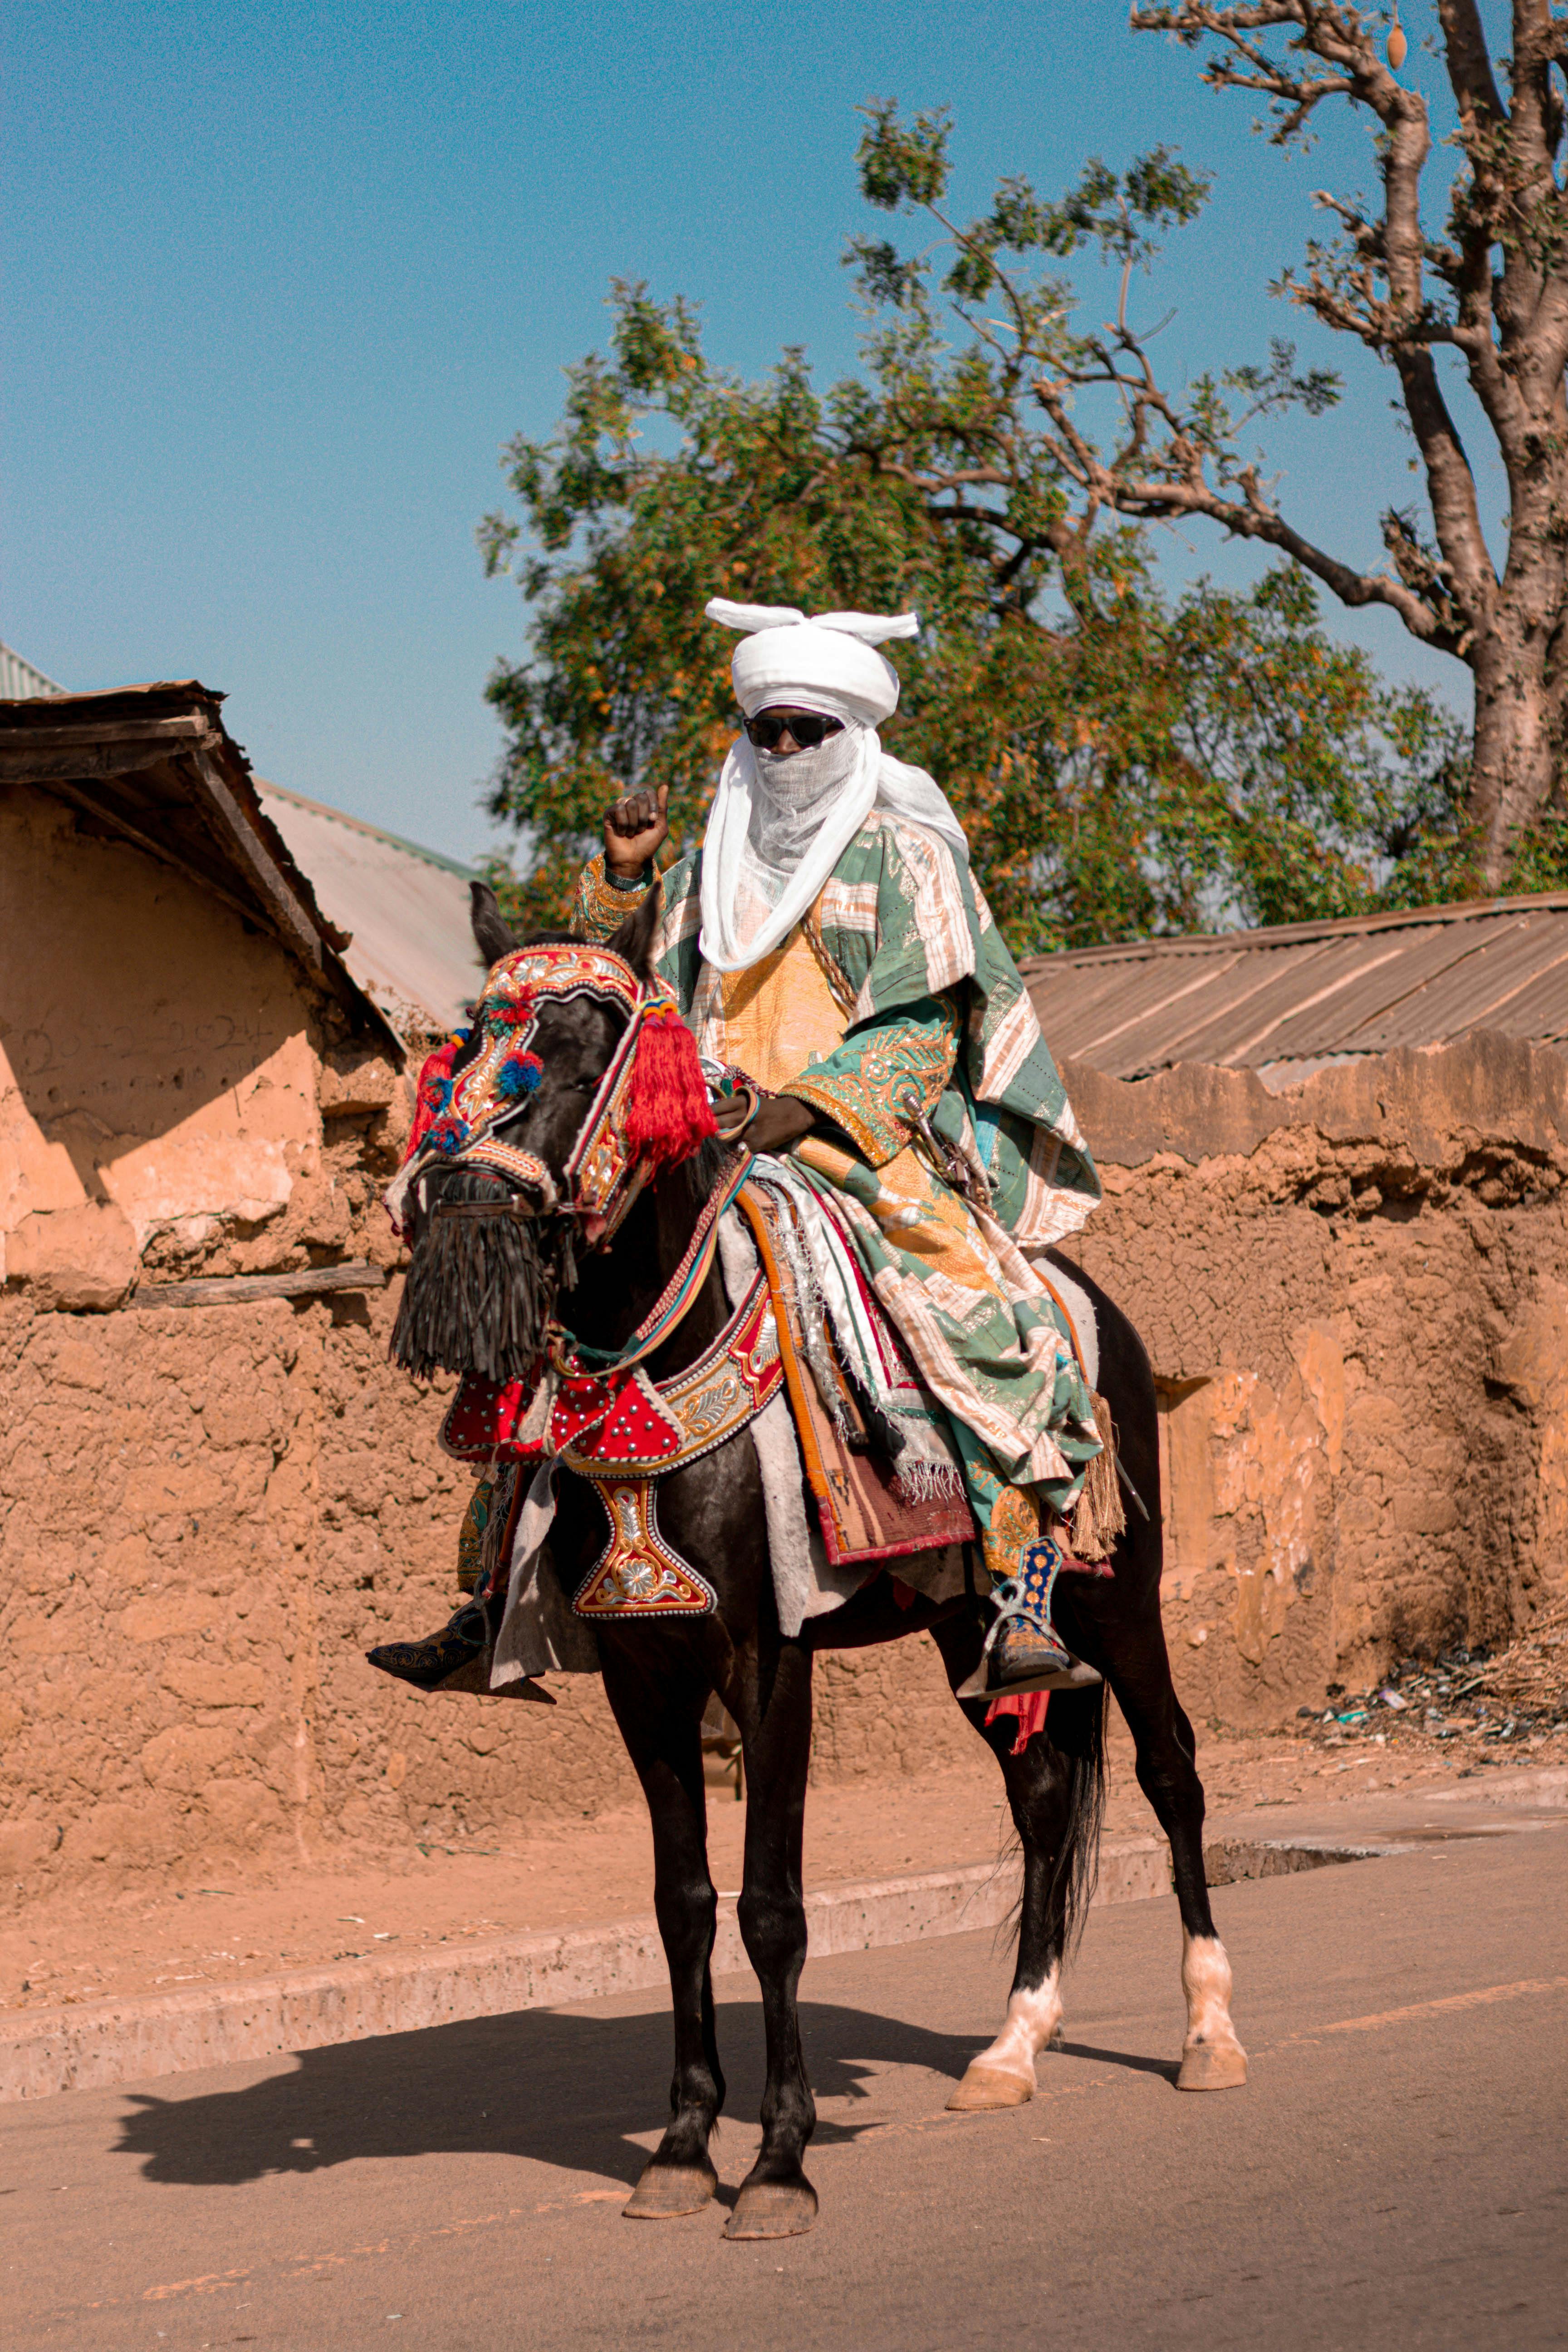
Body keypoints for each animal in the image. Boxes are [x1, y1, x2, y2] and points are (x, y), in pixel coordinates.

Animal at [390, 882, 1246, 2242]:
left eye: (580, 1054)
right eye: (469, 1050)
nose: (466, 1199)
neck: (657, 1355)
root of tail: (1083, 1296)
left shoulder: (767, 1653)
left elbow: (773, 1905)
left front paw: (779, 2162)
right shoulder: (641, 1669)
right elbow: (683, 1902)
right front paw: (683, 2146)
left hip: (1120, 1592)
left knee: (1170, 1769)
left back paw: (1209, 2029)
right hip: (968, 1625)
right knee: (1042, 1792)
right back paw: (1011, 2046)